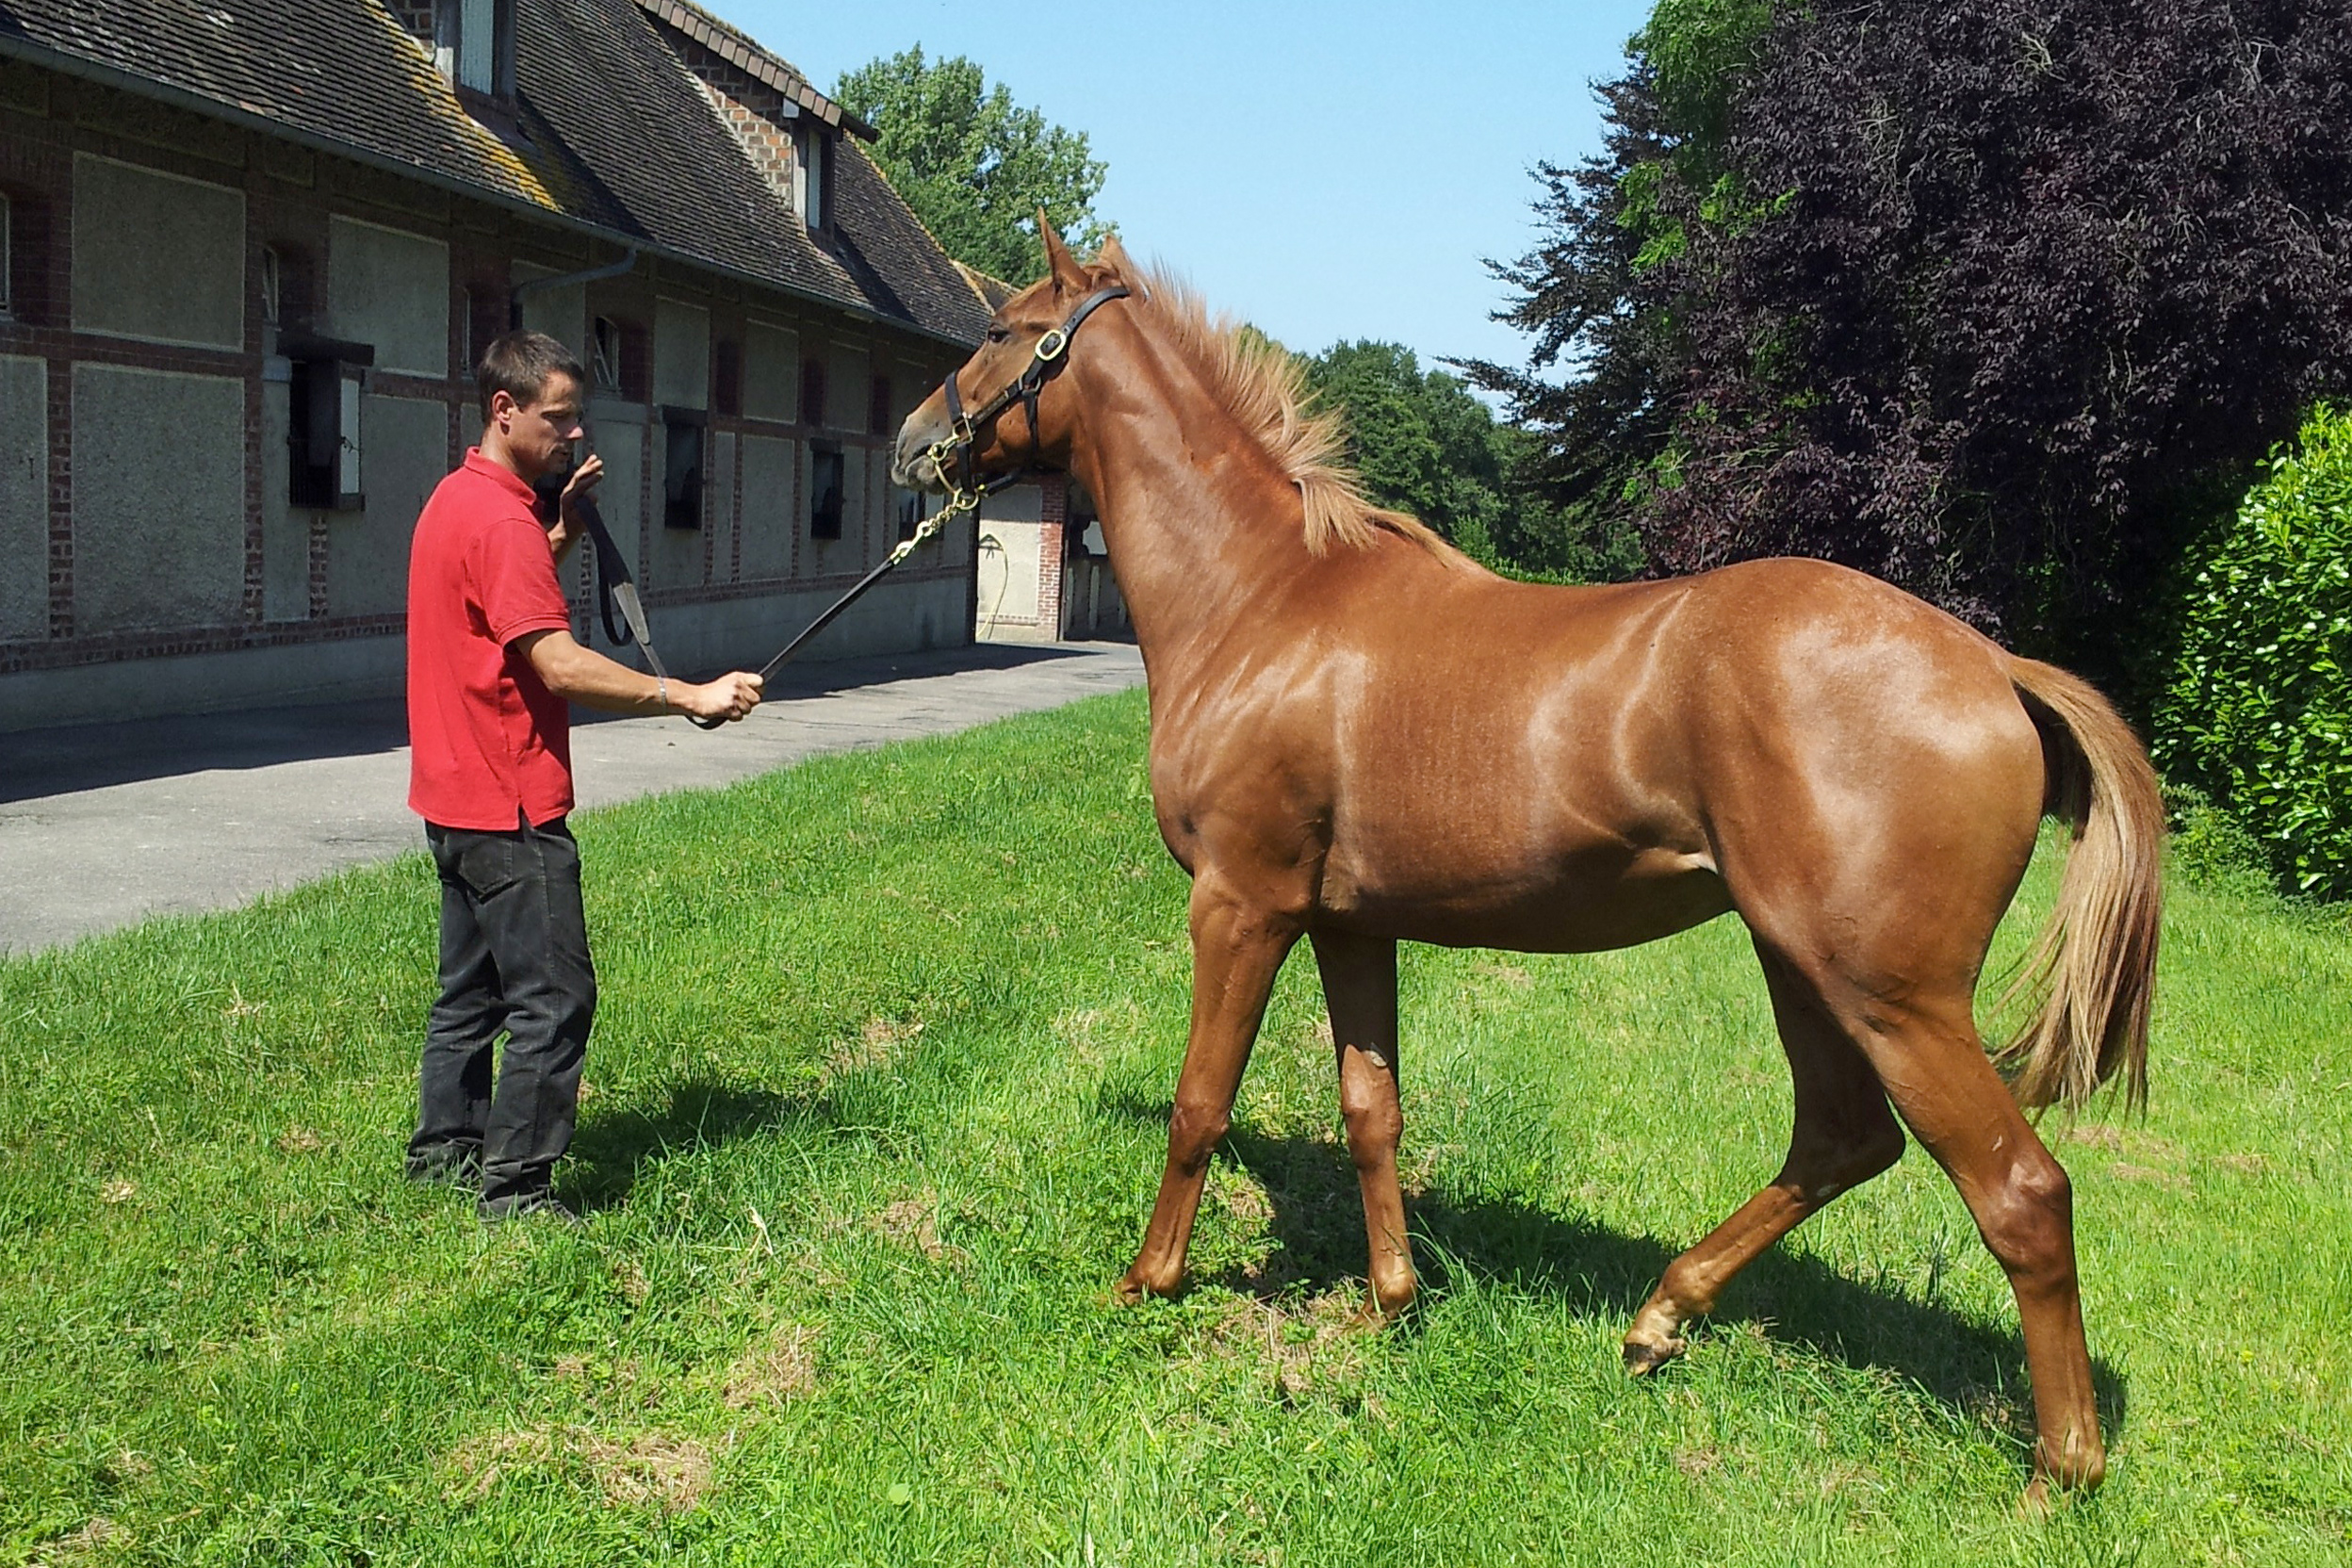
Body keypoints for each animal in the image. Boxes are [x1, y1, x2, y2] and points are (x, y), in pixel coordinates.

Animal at [891, 223, 2162, 1506]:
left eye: (1000, 330)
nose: (910, 440)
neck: (1261, 599)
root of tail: (1996, 668)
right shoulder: (1350, 920)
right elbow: (1372, 1106)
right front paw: (1390, 1299)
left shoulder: (1242, 905)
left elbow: (1202, 1102)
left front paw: (1149, 1278)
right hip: (1803, 965)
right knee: (1843, 1139)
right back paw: (1659, 1318)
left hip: (1891, 994)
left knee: (2019, 1191)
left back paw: (2060, 1469)